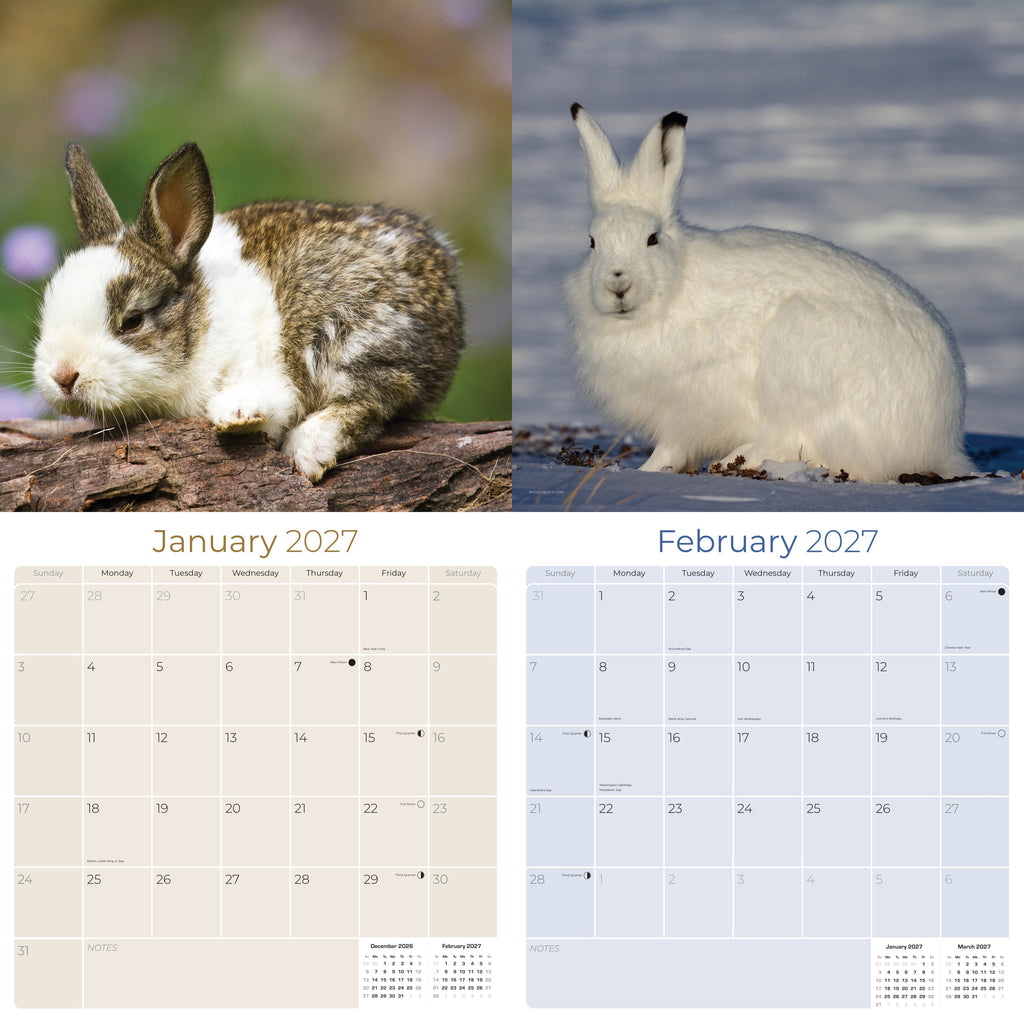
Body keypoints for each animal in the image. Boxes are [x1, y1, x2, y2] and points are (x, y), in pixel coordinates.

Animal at [34, 142, 464, 481]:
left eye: (132, 321)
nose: (64, 376)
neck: (202, 322)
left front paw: (238, 414)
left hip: (349, 331)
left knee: (380, 396)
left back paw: (307, 450)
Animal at [565, 103, 974, 482]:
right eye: (592, 242)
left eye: (652, 239)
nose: (617, 284)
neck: (671, 292)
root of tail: (938, 440)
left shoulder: (688, 409)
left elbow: (672, 446)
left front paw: (647, 470)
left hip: (800, 348)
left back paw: (736, 458)